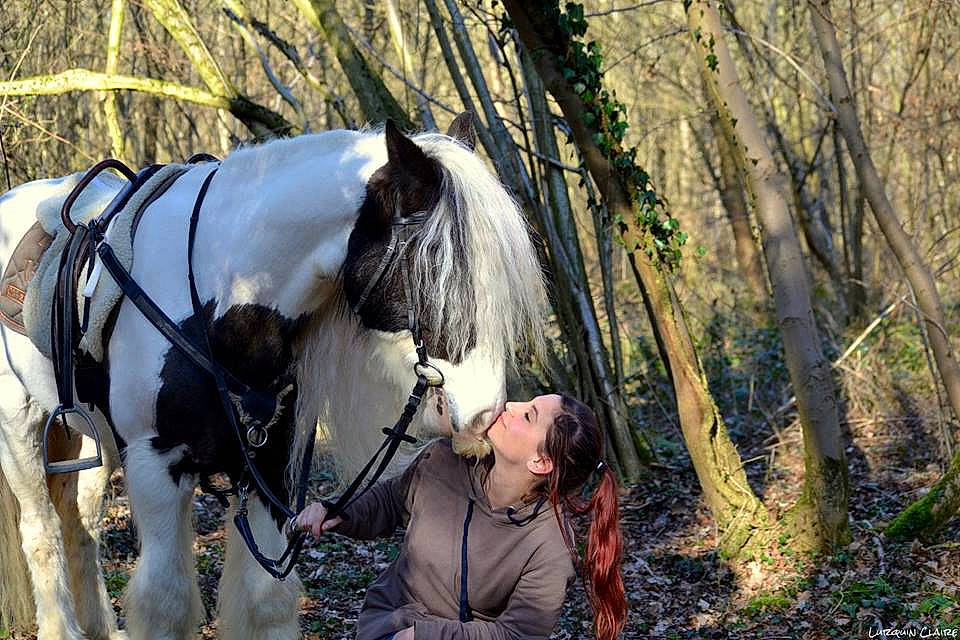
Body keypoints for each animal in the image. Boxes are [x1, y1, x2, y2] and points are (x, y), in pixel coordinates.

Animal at [0, 115, 546, 640]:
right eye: (437, 273)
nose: (484, 415)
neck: (222, 300)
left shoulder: (270, 464)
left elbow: (267, 601)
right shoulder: (157, 464)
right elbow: (166, 603)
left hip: (94, 441)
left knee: (79, 522)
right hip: (22, 433)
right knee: (41, 531)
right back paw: (63, 629)